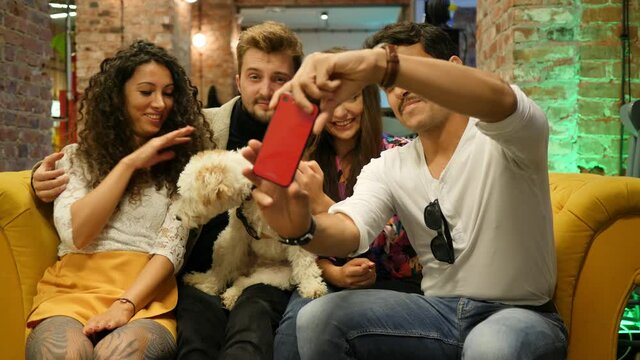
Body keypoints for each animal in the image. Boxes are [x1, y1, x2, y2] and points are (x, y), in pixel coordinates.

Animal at [174, 149, 328, 310]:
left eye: (188, 198)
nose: (177, 217)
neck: (255, 188)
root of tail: (251, 267)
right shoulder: (238, 236)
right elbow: (224, 267)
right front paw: (212, 287)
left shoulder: (297, 231)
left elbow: (305, 264)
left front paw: (312, 287)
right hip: (222, 242)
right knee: (218, 271)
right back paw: (199, 279)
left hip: (275, 276)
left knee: (242, 281)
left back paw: (230, 295)